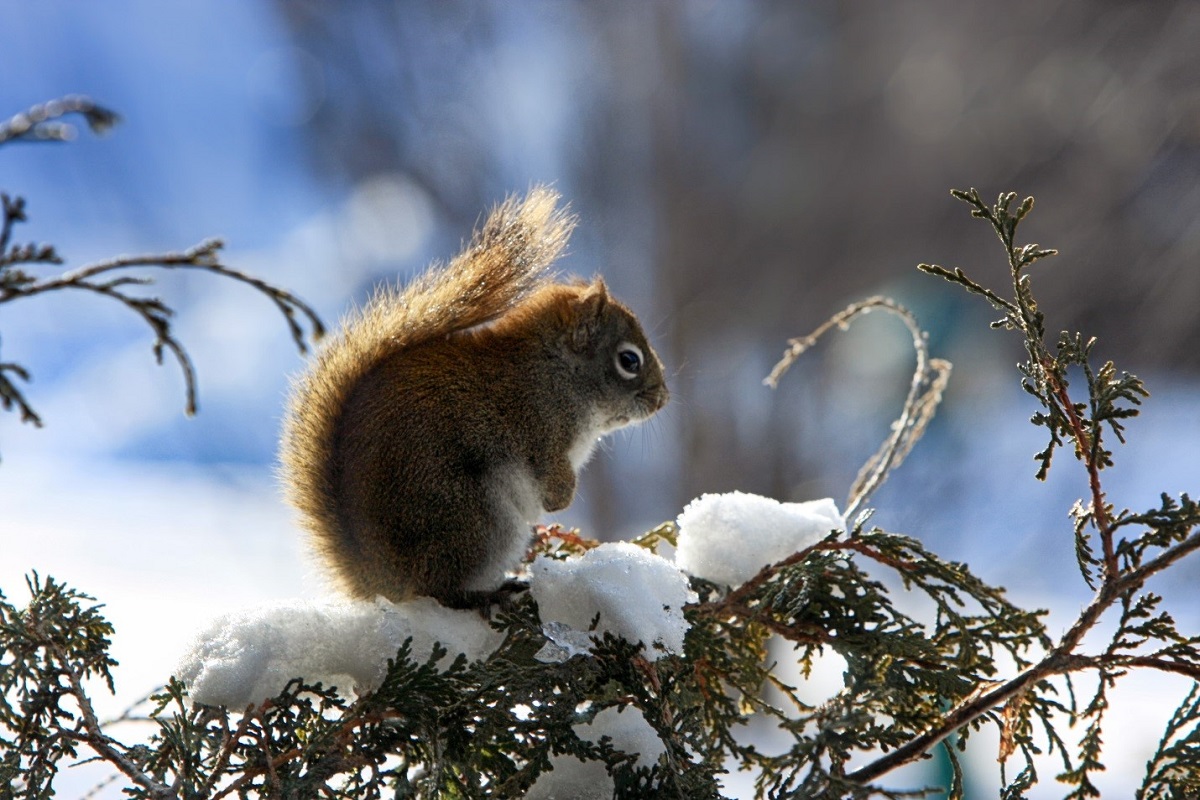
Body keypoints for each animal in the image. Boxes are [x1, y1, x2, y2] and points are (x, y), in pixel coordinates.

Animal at [283, 188, 676, 609]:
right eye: (629, 360)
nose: (662, 399)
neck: (557, 374)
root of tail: (383, 579)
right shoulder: (538, 424)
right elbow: (551, 474)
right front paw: (561, 499)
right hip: (479, 520)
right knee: (442, 591)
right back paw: (491, 594)